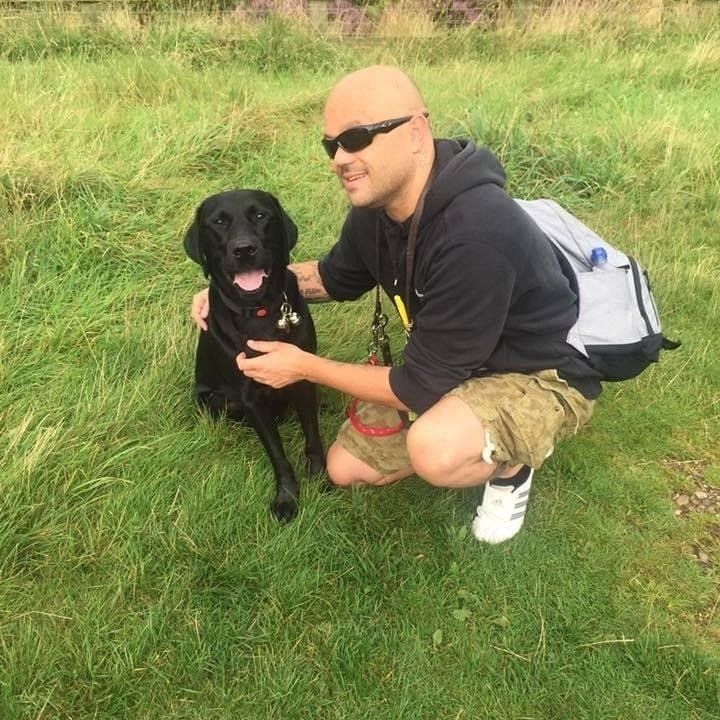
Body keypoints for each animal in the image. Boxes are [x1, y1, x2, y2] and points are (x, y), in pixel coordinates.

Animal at [183, 188, 326, 520]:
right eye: (218, 222)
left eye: (261, 215)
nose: (244, 249)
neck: (259, 311)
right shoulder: (250, 398)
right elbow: (277, 454)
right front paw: (287, 498)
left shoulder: (303, 378)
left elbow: (312, 434)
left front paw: (320, 475)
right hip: (216, 400)